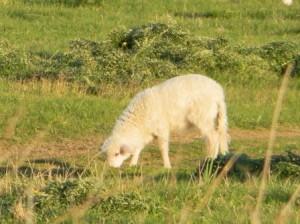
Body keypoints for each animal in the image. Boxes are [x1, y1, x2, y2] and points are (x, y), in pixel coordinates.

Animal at [101, 74, 230, 168]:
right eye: (107, 155)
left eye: (117, 153)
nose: (111, 167)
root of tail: (218, 93)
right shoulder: (147, 133)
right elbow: (138, 148)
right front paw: (133, 164)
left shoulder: (162, 129)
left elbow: (163, 148)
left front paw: (167, 166)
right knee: (219, 135)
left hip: (203, 118)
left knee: (213, 137)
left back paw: (210, 159)